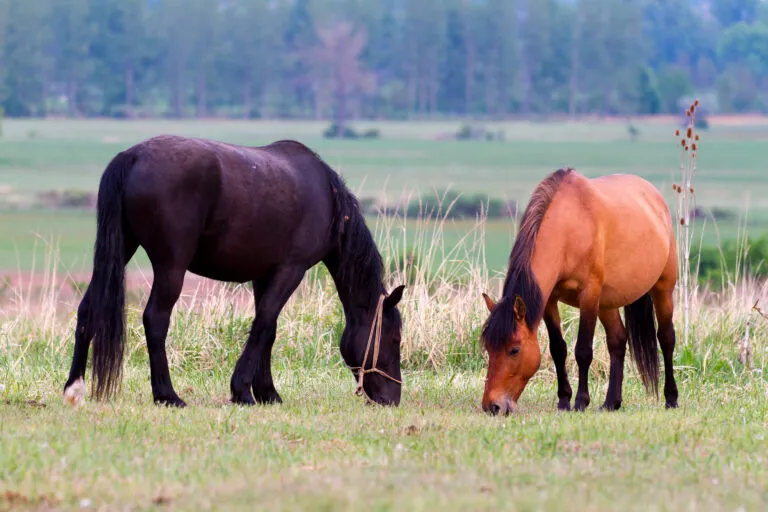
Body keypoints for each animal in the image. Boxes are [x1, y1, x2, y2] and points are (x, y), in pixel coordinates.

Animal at [62, 135, 405, 407]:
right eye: (394, 338)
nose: (392, 399)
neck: (328, 198)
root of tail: (132, 156)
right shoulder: (290, 270)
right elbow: (263, 323)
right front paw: (243, 391)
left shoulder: (264, 275)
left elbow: (269, 329)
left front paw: (268, 392)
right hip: (171, 267)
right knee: (155, 319)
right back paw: (167, 395)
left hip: (120, 251)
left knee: (89, 309)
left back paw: (73, 387)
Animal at [480, 168, 678, 415]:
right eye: (488, 348)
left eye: (514, 350)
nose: (492, 406)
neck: (569, 228)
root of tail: (655, 198)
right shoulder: (549, 300)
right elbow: (558, 349)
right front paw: (564, 400)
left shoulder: (589, 295)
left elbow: (583, 350)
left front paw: (581, 402)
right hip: (607, 301)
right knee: (617, 340)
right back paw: (611, 402)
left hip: (662, 288)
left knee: (666, 338)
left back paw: (671, 398)